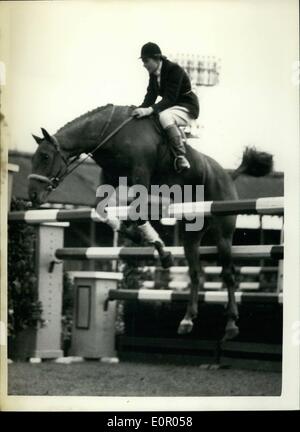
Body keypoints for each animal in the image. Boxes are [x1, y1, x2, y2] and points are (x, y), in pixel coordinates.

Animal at [29, 103, 274, 340]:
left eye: (45, 157)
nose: (33, 196)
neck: (109, 133)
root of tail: (228, 175)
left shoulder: (140, 177)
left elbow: (136, 215)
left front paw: (153, 244)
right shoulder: (110, 179)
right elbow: (102, 210)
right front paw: (147, 243)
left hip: (223, 232)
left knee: (228, 273)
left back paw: (231, 323)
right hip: (191, 233)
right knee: (195, 273)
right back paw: (187, 320)